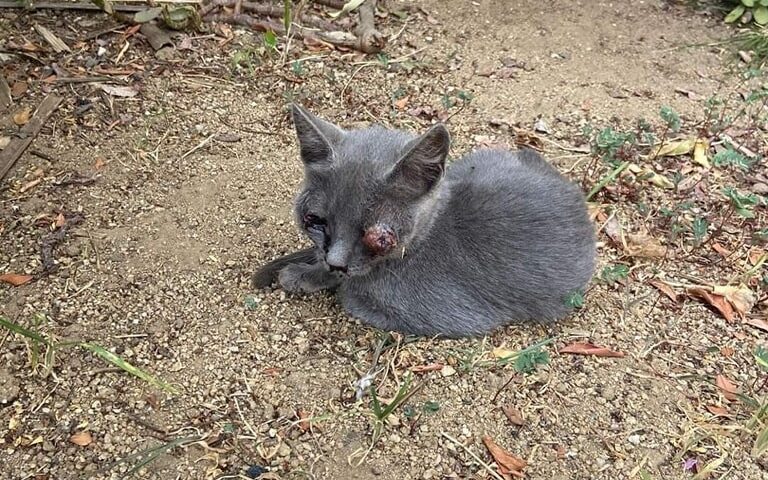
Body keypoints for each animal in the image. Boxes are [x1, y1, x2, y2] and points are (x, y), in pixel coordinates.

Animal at [255, 105, 596, 338]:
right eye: (314, 221)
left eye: (380, 238)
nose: (336, 262)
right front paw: (312, 269)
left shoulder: (451, 317)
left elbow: (349, 292)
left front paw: (304, 275)